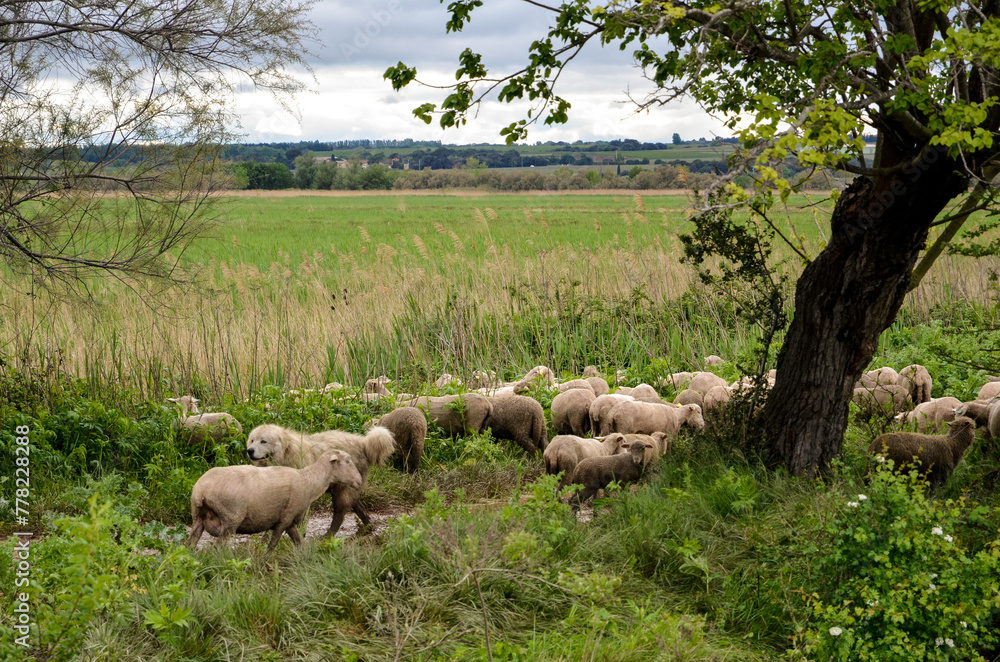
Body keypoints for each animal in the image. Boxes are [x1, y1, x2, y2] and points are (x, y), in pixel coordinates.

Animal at [187, 450, 362, 554]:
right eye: (348, 461)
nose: (359, 481)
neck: (309, 481)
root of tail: (201, 490)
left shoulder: (290, 521)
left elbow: (298, 541)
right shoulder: (284, 518)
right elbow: (273, 543)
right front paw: (265, 560)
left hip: (198, 516)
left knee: (191, 542)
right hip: (230, 519)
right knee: (218, 546)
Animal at [245, 424, 395, 537]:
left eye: (263, 441)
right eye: (252, 440)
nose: (249, 451)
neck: (285, 453)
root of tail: (363, 442)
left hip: (343, 486)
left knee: (340, 513)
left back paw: (328, 535)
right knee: (356, 505)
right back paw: (368, 526)